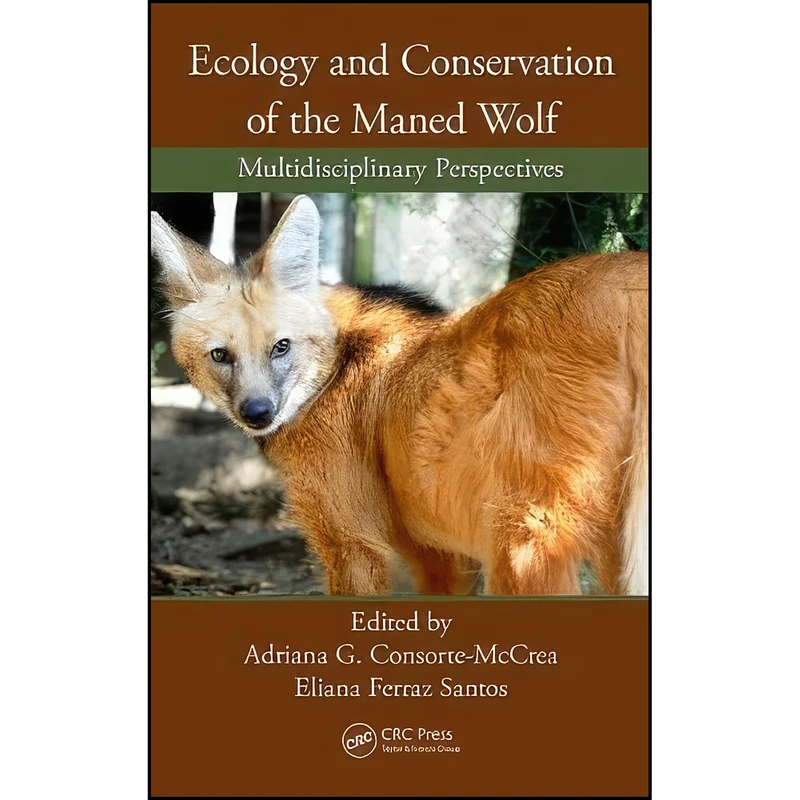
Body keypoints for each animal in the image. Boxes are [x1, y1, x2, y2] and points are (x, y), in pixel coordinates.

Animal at [150, 195, 648, 596]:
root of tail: (627, 282)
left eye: (281, 347)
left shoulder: (351, 540)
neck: (336, 365)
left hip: (522, 538)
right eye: (221, 355)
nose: (257, 412)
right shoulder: (435, 553)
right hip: (611, 541)